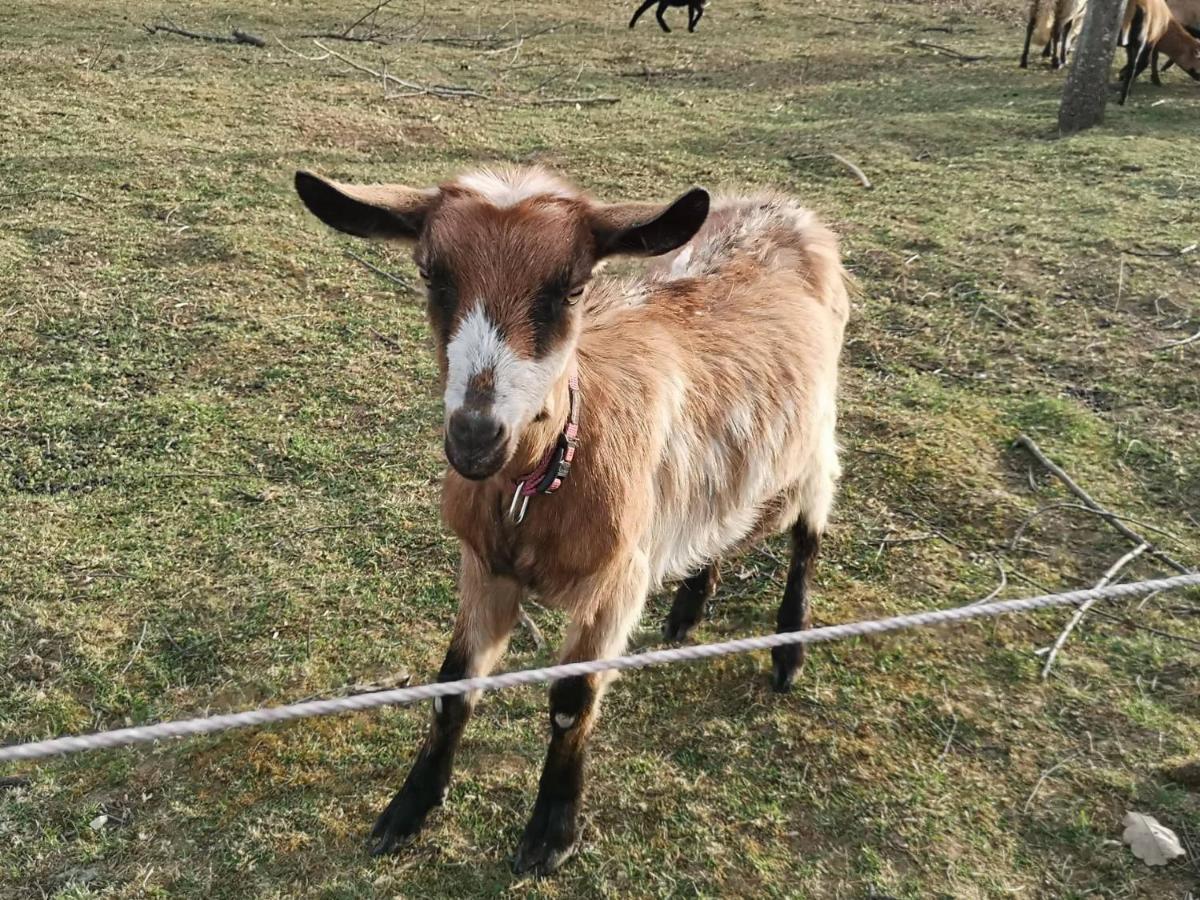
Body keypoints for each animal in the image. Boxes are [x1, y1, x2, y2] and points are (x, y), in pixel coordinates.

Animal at [294, 165, 849, 878]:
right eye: (431, 276)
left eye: (572, 288)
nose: (476, 436)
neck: (545, 480)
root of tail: (789, 210)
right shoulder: (485, 566)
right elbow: (453, 685)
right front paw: (408, 809)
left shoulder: (618, 581)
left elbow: (570, 701)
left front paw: (551, 834)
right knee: (725, 519)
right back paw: (689, 609)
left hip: (812, 445)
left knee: (807, 533)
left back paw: (788, 652)